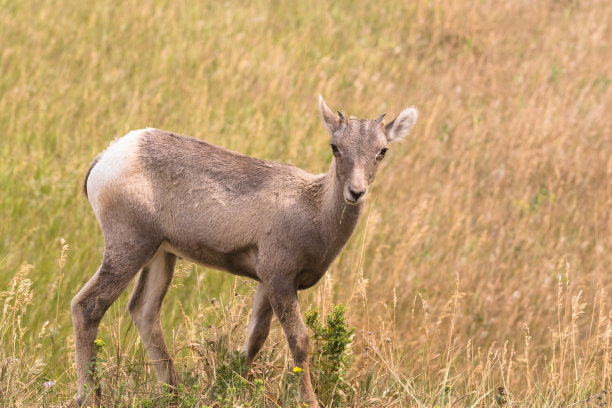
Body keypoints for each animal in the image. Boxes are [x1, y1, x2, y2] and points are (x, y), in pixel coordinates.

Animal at [71, 97, 416, 406]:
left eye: (382, 151)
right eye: (335, 147)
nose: (356, 192)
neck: (312, 211)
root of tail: (107, 157)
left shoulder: (266, 284)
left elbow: (254, 341)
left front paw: (224, 390)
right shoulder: (280, 279)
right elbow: (299, 341)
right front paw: (310, 401)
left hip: (160, 255)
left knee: (144, 311)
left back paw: (175, 392)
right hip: (129, 249)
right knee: (87, 306)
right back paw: (93, 397)